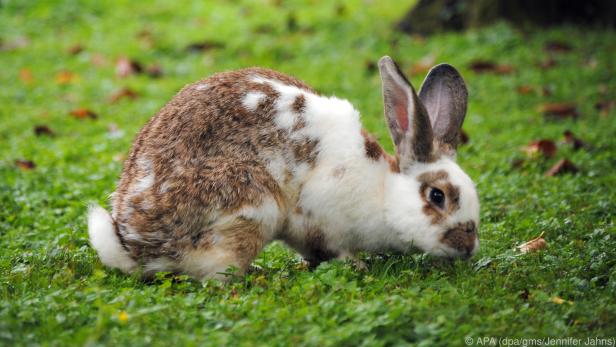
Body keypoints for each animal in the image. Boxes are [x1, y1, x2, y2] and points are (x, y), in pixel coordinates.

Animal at [88, 55, 482, 282]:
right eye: (437, 196)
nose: (468, 246)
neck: (383, 191)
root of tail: (135, 245)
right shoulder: (319, 215)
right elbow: (332, 249)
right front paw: (357, 267)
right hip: (248, 207)